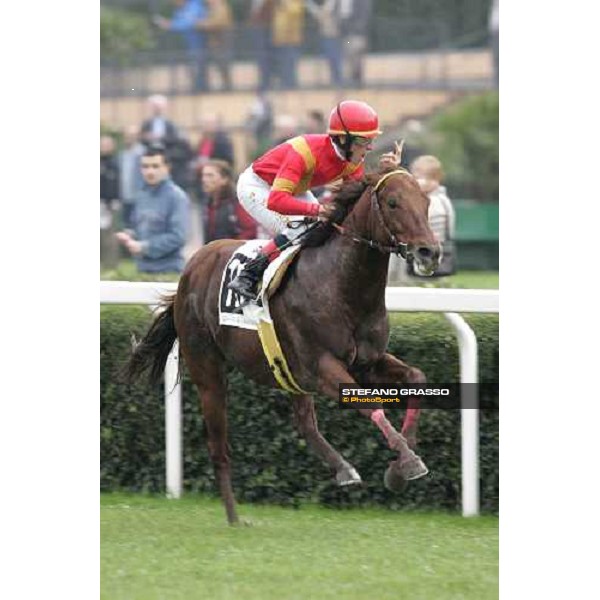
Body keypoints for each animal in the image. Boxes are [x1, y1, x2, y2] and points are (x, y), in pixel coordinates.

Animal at [126, 169, 440, 524]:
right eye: (393, 202)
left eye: (426, 201)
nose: (429, 251)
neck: (342, 284)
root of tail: (192, 267)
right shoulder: (323, 367)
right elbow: (370, 404)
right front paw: (408, 462)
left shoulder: (367, 363)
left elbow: (417, 378)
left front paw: (401, 464)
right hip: (208, 369)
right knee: (219, 447)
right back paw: (234, 519)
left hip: (288, 371)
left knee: (304, 423)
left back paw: (343, 469)